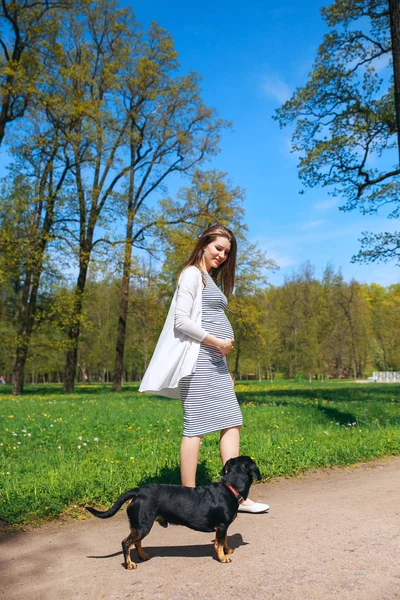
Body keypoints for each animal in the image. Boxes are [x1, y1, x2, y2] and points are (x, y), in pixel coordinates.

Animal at [86, 458, 262, 568]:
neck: (230, 489)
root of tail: (138, 491)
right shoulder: (221, 526)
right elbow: (219, 544)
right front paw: (223, 557)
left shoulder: (223, 528)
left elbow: (223, 541)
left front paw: (227, 549)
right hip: (143, 525)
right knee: (126, 543)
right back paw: (129, 564)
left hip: (140, 526)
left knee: (136, 543)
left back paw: (142, 556)